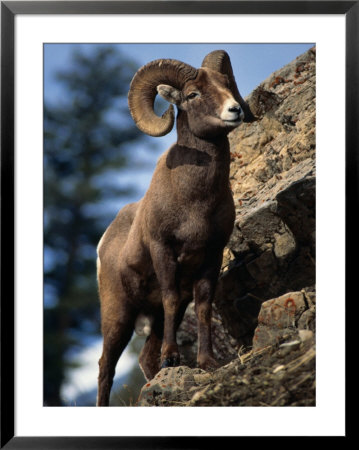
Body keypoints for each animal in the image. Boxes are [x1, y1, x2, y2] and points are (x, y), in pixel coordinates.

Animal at [97, 51, 255, 406]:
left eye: (226, 84)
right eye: (193, 94)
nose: (234, 110)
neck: (195, 201)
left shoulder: (211, 255)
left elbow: (205, 305)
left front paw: (207, 362)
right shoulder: (163, 251)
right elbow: (169, 296)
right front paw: (173, 357)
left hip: (150, 318)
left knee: (145, 358)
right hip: (118, 315)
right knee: (105, 367)